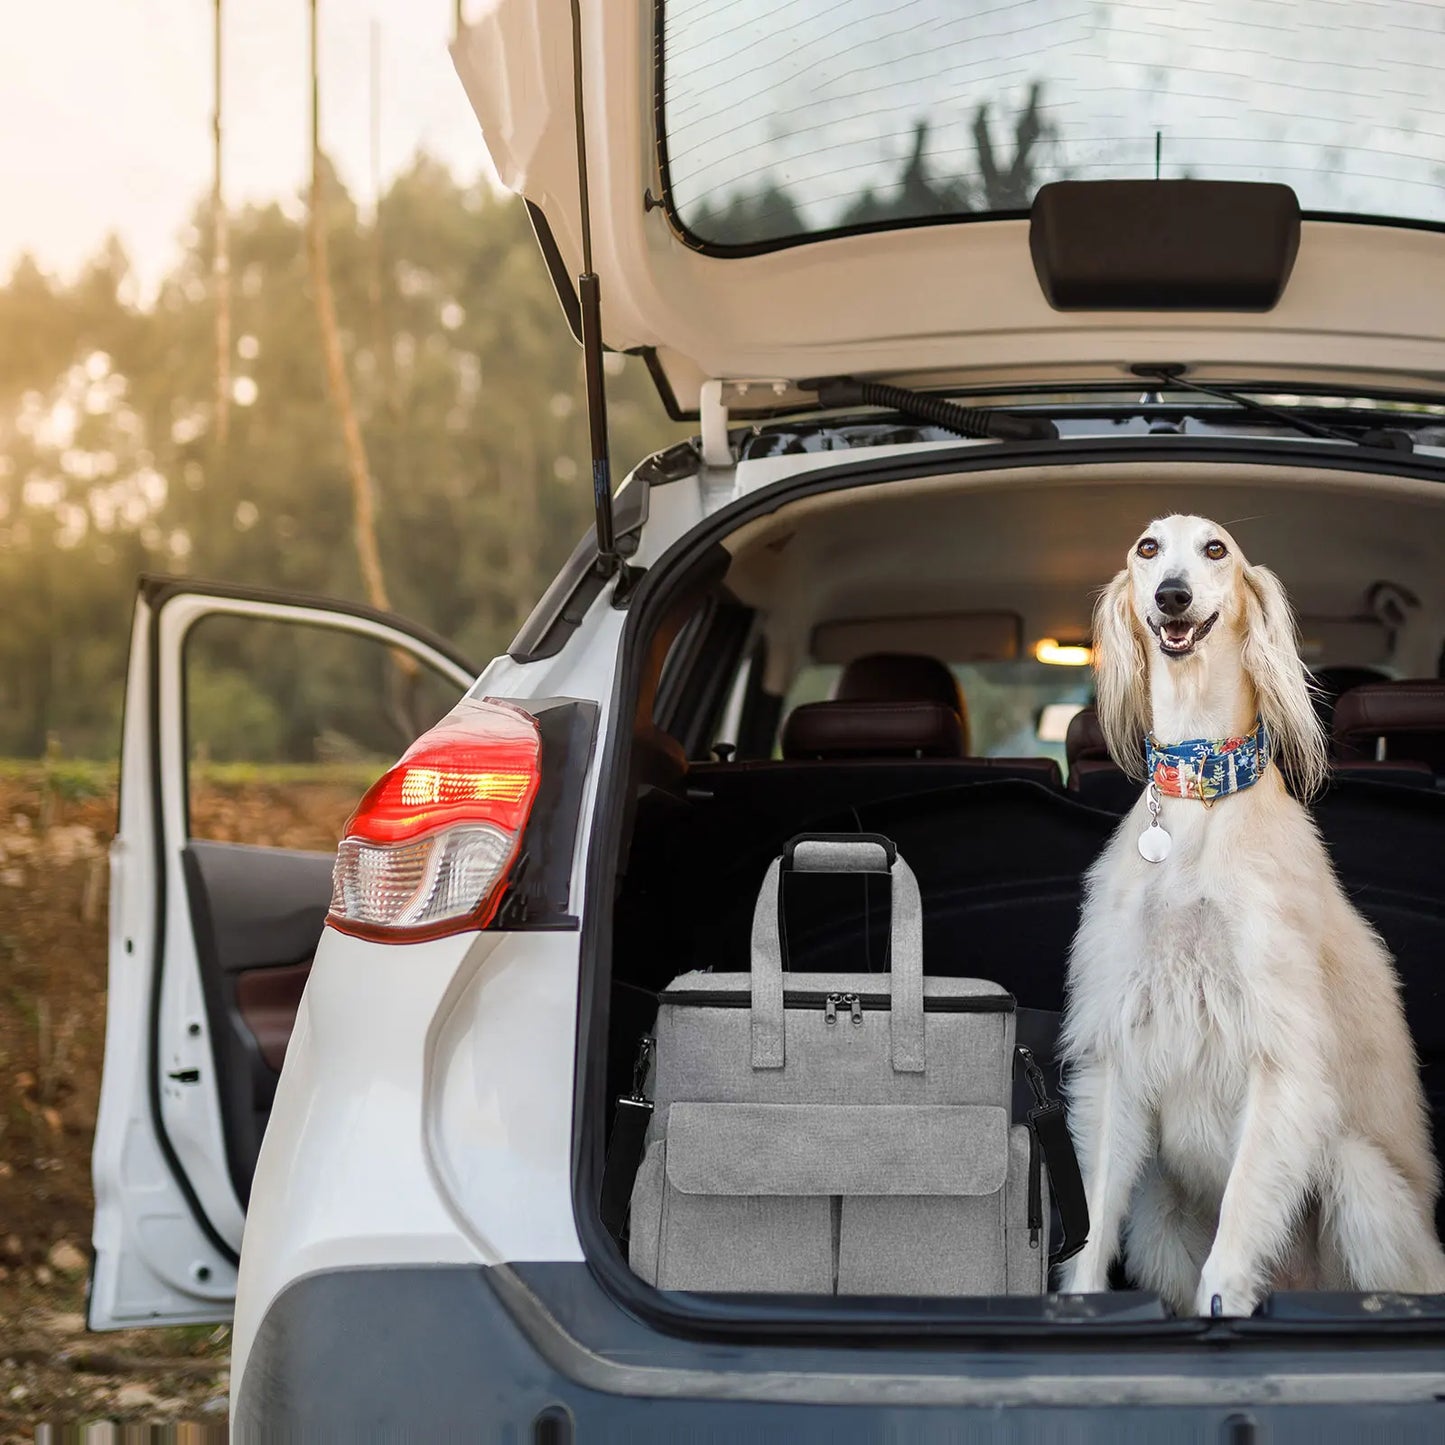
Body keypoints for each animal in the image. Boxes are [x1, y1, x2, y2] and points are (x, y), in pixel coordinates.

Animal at [1063, 514, 1445, 1317]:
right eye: (1147, 548)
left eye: (1216, 549)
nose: (1172, 597)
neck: (1201, 792)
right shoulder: (1117, 1040)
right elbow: (1091, 1223)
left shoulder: (1282, 1052)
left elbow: (1240, 1214)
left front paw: (1226, 1302)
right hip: (1159, 1214)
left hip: (1360, 1179)